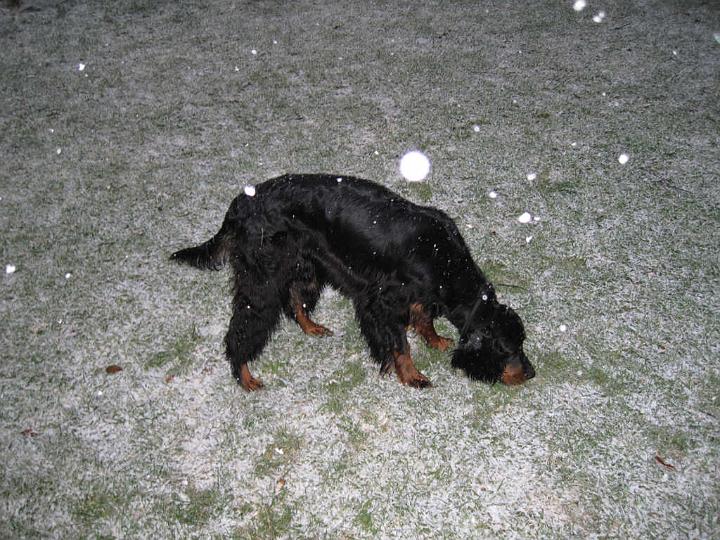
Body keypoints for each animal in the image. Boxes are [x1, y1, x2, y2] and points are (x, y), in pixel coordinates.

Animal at [172, 175, 536, 390]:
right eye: (508, 350)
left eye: (522, 344)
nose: (531, 372)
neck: (444, 259)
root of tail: (240, 203)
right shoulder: (381, 301)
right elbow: (400, 344)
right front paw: (411, 375)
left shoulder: (416, 295)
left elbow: (423, 318)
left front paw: (434, 340)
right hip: (261, 280)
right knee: (242, 329)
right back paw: (244, 374)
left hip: (304, 265)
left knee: (295, 299)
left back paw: (311, 326)